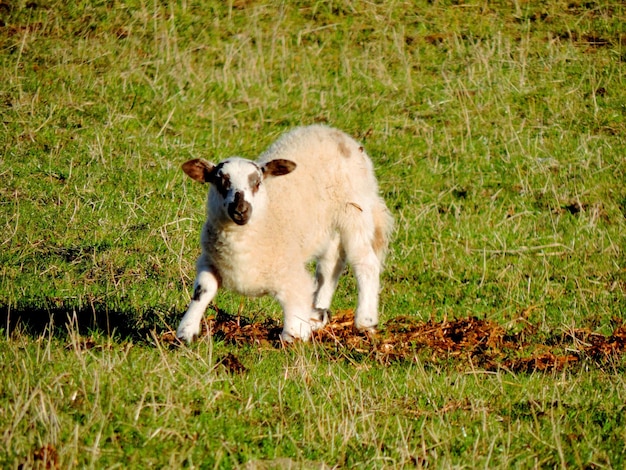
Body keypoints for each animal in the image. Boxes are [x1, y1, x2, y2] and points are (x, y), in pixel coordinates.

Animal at [174, 125, 390, 344]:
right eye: (220, 182)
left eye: (258, 183)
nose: (241, 210)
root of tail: (331, 131)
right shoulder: (210, 260)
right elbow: (202, 290)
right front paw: (186, 331)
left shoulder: (290, 273)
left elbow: (295, 308)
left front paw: (295, 335)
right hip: (325, 225)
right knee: (330, 265)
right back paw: (319, 312)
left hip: (355, 208)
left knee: (365, 262)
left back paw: (365, 321)